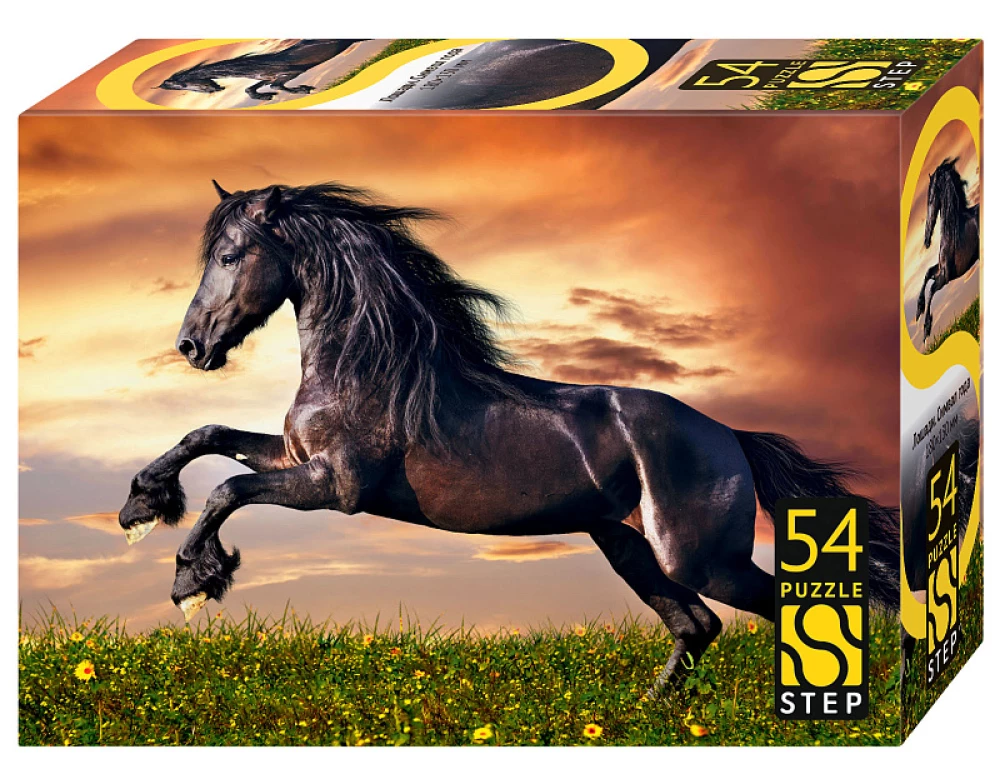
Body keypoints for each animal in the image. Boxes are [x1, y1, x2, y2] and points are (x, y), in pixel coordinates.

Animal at [119, 181, 901, 695]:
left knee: (788, 609)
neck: (371, 367)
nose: (191, 346)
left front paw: (193, 579)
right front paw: (141, 508)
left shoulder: (333, 486)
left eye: (232, 255)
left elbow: (228, 487)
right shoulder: (297, 458)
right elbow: (209, 434)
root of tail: (731, 436)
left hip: (701, 557)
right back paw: (649, 713)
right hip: (629, 547)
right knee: (696, 627)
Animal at [157, 40, 363, 101]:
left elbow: (276, 85)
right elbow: (251, 88)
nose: (216, 89)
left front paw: (303, 89)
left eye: (182, 85)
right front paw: (264, 97)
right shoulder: (267, 76)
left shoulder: (292, 72)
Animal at [914, 157, 980, 341]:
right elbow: (927, 273)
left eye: (930, 199)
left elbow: (931, 289)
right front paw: (918, 310)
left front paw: (926, 329)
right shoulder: (941, 269)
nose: (926, 238)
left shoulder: (947, 275)